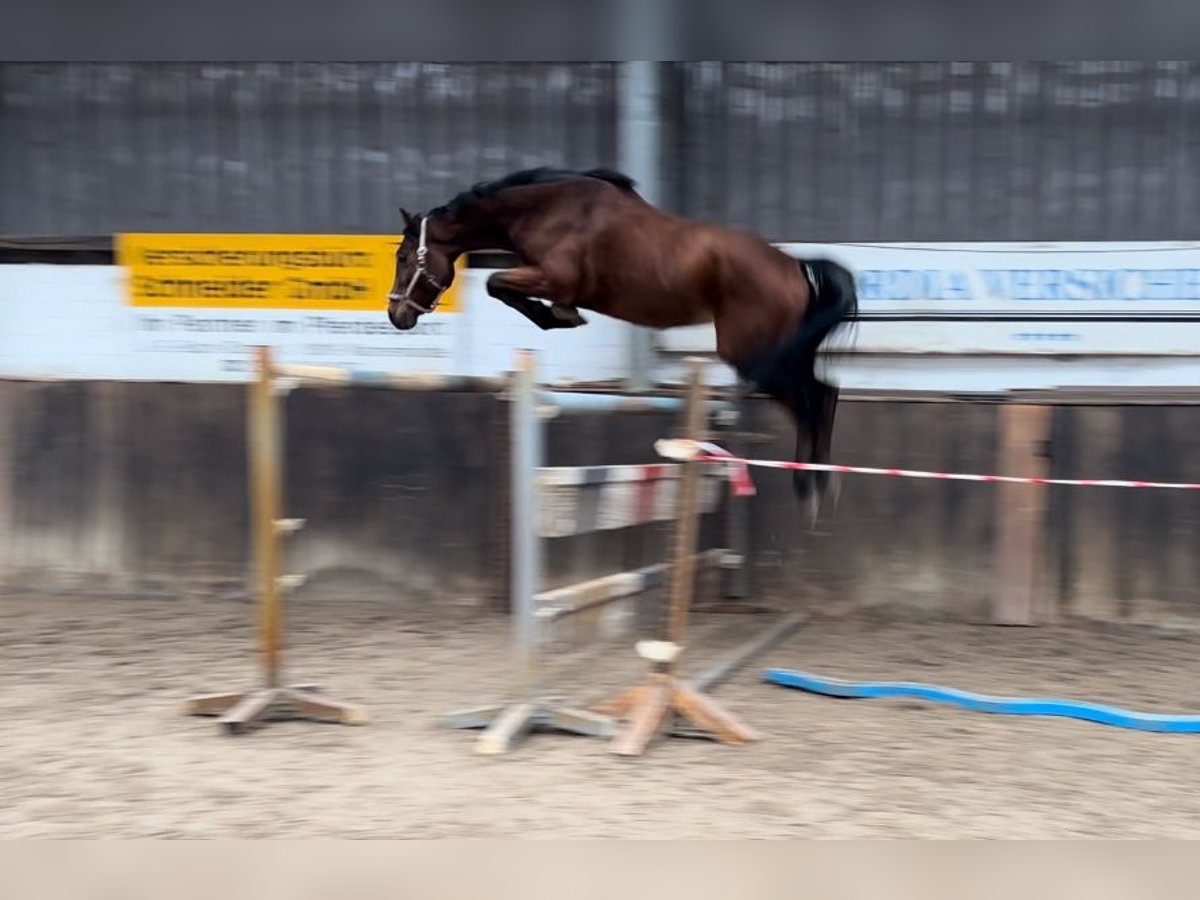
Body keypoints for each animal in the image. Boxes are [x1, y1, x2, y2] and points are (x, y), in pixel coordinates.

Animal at [388, 164, 859, 511]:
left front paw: (558, 316)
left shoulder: (551, 277)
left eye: (405, 255)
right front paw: (558, 316)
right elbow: (499, 285)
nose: (396, 314)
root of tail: (793, 268)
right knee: (824, 393)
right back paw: (818, 483)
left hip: (753, 354)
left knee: (812, 398)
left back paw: (811, 487)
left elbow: (496, 284)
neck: (544, 210)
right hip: (782, 353)